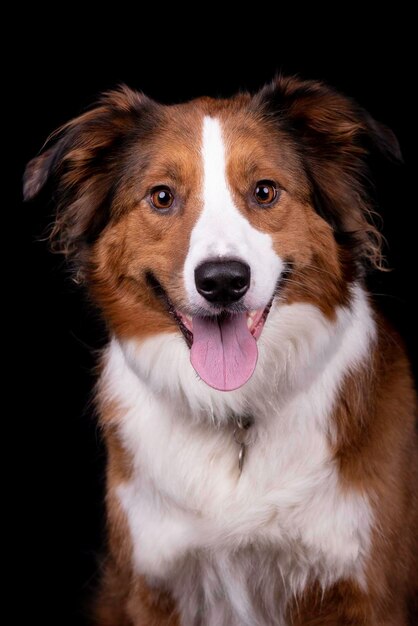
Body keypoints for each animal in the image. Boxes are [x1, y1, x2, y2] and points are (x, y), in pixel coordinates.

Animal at [24, 78, 416, 624]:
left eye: (265, 191)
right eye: (162, 196)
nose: (224, 281)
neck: (235, 412)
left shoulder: (365, 589)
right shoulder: (154, 584)